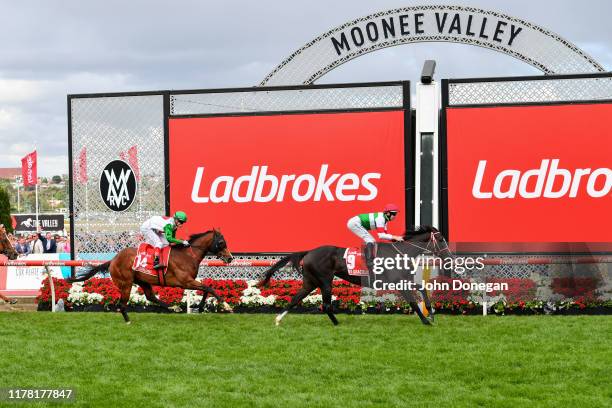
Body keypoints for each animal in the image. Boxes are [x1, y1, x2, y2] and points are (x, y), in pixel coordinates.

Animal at [69, 230, 234, 322]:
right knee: (121, 304)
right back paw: (128, 322)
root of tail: (113, 259)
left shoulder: (190, 282)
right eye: (221, 242)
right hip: (126, 283)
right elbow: (209, 288)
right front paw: (226, 306)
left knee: (151, 297)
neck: (188, 255)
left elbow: (207, 289)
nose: (230, 258)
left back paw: (174, 307)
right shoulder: (186, 281)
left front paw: (199, 307)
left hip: (143, 281)